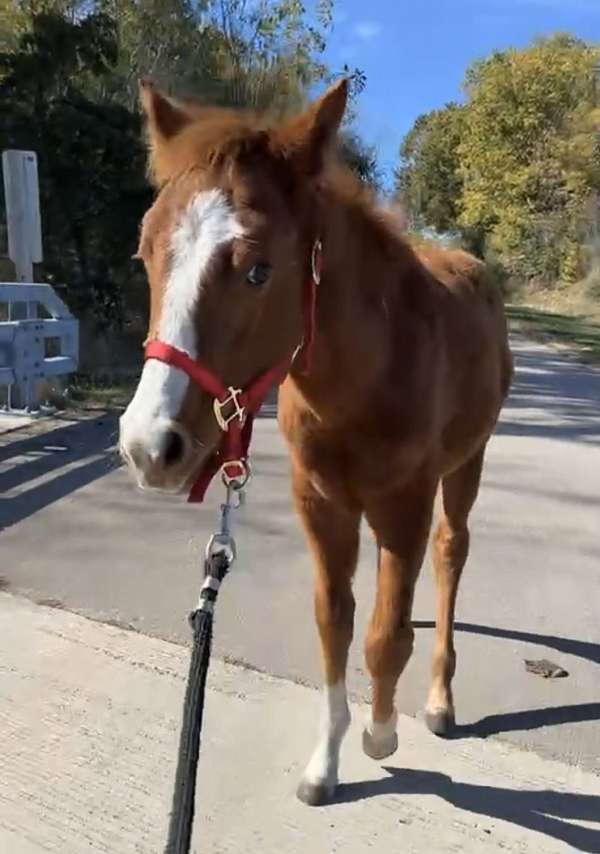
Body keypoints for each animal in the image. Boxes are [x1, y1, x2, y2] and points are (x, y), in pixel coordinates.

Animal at [120, 77, 510, 804]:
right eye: (146, 252)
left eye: (258, 270)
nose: (148, 447)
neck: (365, 379)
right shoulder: (322, 505)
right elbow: (335, 622)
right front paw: (325, 763)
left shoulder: (402, 510)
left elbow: (384, 638)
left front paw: (381, 736)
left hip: (468, 462)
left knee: (451, 555)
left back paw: (439, 700)